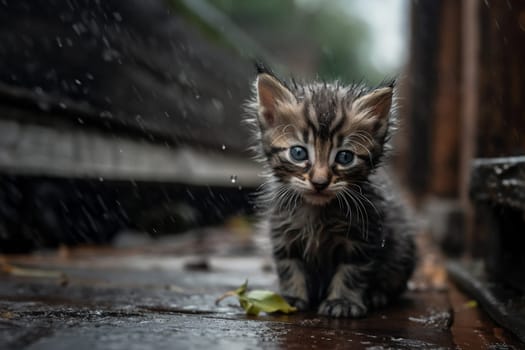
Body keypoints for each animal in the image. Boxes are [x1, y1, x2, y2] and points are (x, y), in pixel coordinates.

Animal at [245, 64, 414, 318]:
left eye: (344, 157)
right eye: (298, 153)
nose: (320, 182)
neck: (317, 213)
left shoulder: (364, 236)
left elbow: (352, 271)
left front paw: (342, 301)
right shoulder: (283, 234)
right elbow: (288, 268)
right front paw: (290, 298)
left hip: (402, 252)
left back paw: (377, 295)